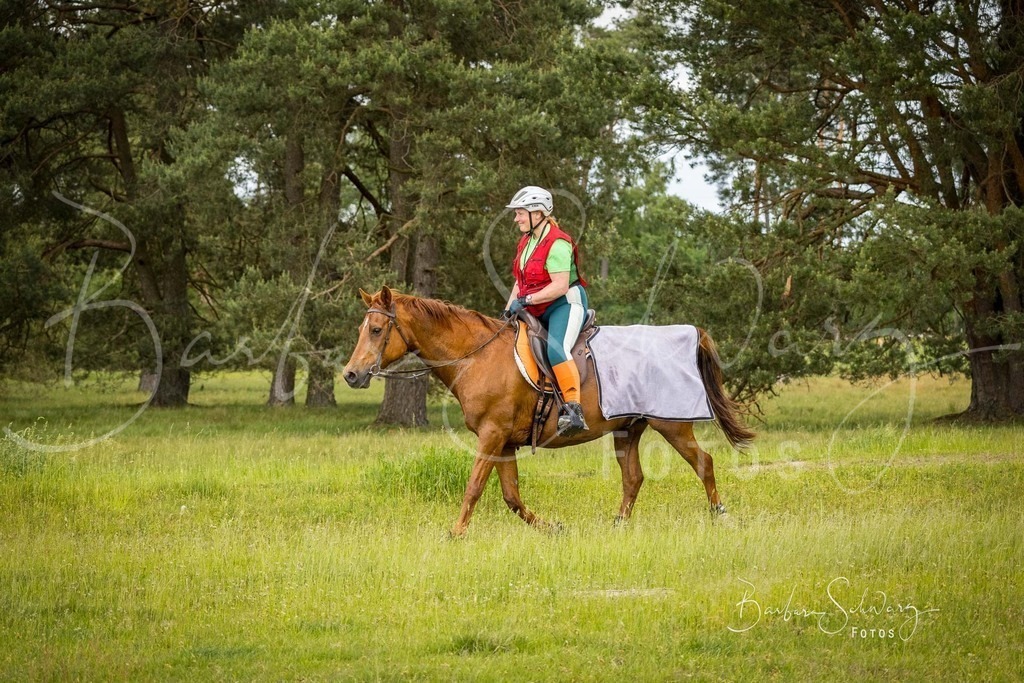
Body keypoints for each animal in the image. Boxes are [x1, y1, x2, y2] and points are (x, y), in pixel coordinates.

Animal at [342, 286, 754, 536]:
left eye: (376, 329)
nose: (351, 375)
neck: (477, 356)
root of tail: (691, 333)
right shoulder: (505, 442)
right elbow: (511, 497)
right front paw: (553, 527)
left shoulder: (492, 436)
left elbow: (474, 486)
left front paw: (456, 533)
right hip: (628, 429)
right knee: (633, 478)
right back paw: (618, 525)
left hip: (671, 424)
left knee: (703, 463)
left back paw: (722, 516)